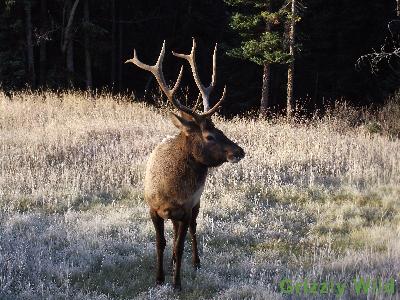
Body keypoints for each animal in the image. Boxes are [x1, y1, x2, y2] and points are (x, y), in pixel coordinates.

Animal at [126, 38, 244, 290]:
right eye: (210, 136)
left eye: (221, 130)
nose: (240, 151)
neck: (171, 192)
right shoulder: (153, 208)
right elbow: (160, 243)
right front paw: (159, 278)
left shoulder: (186, 209)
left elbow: (180, 246)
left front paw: (177, 283)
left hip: (196, 204)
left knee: (193, 229)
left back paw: (196, 261)